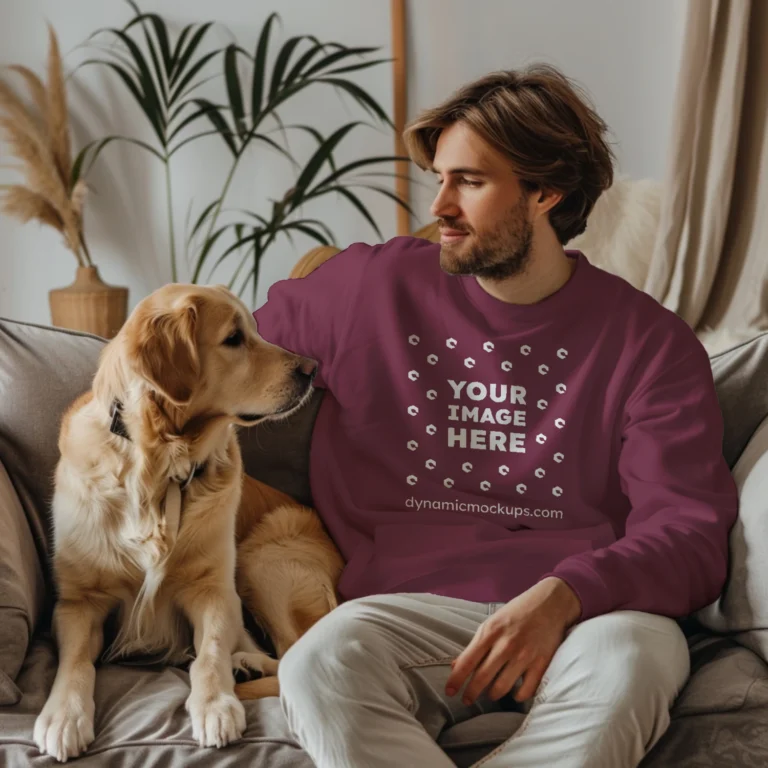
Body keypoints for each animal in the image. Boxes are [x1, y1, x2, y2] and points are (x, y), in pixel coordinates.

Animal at [36, 284, 342, 760]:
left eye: (256, 330)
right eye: (234, 338)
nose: (313, 370)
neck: (159, 467)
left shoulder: (214, 590)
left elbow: (210, 654)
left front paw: (215, 705)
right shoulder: (78, 602)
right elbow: (76, 662)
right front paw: (63, 716)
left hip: (262, 561)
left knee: (293, 654)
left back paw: (246, 666)